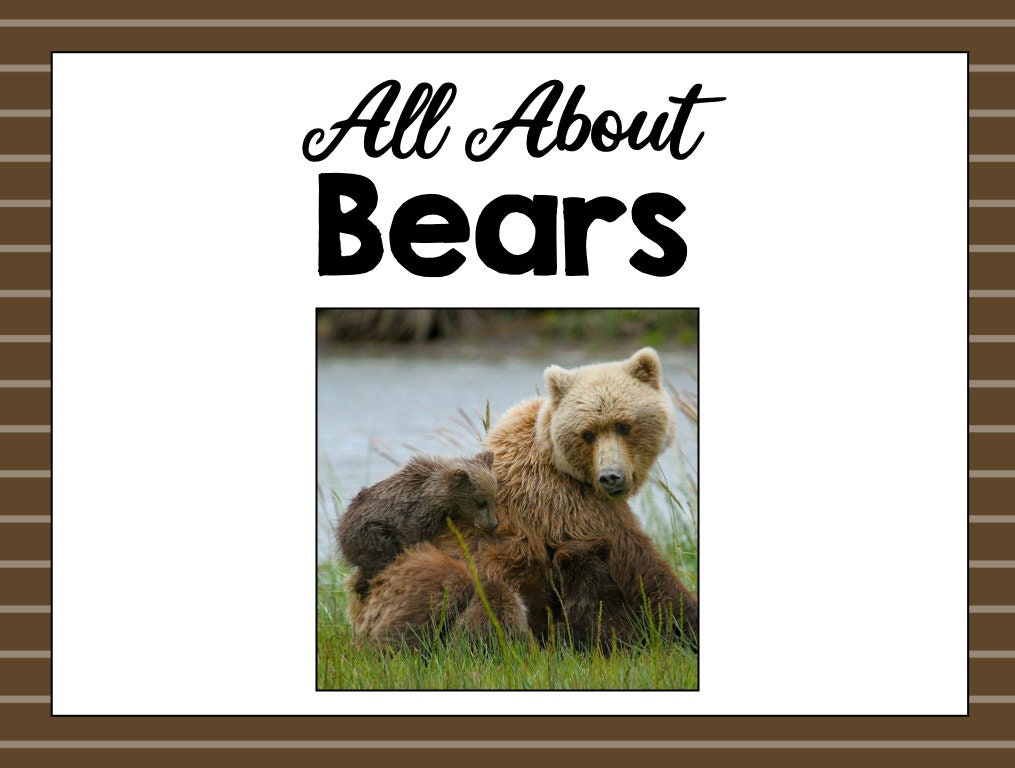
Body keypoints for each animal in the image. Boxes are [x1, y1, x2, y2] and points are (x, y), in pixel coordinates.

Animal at [337, 451, 499, 601]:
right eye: (480, 502)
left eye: (493, 498)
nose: (493, 523)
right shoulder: (415, 514)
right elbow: (414, 537)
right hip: (372, 533)